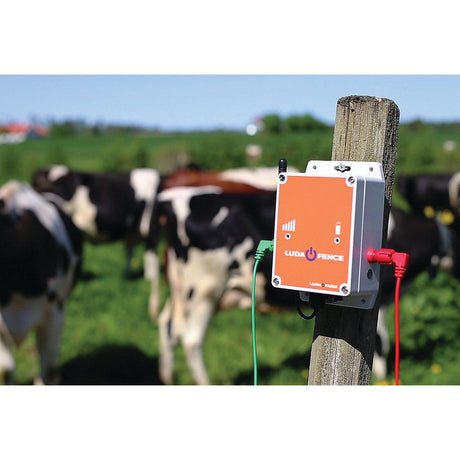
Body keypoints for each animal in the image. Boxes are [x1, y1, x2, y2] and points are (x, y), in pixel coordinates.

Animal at [153, 185, 454, 386]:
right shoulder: (383, 294)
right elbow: (381, 340)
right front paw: (381, 374)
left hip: (182, 289)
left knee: (167, 326)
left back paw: (168, 377)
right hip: (204, 289)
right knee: (191, 339)